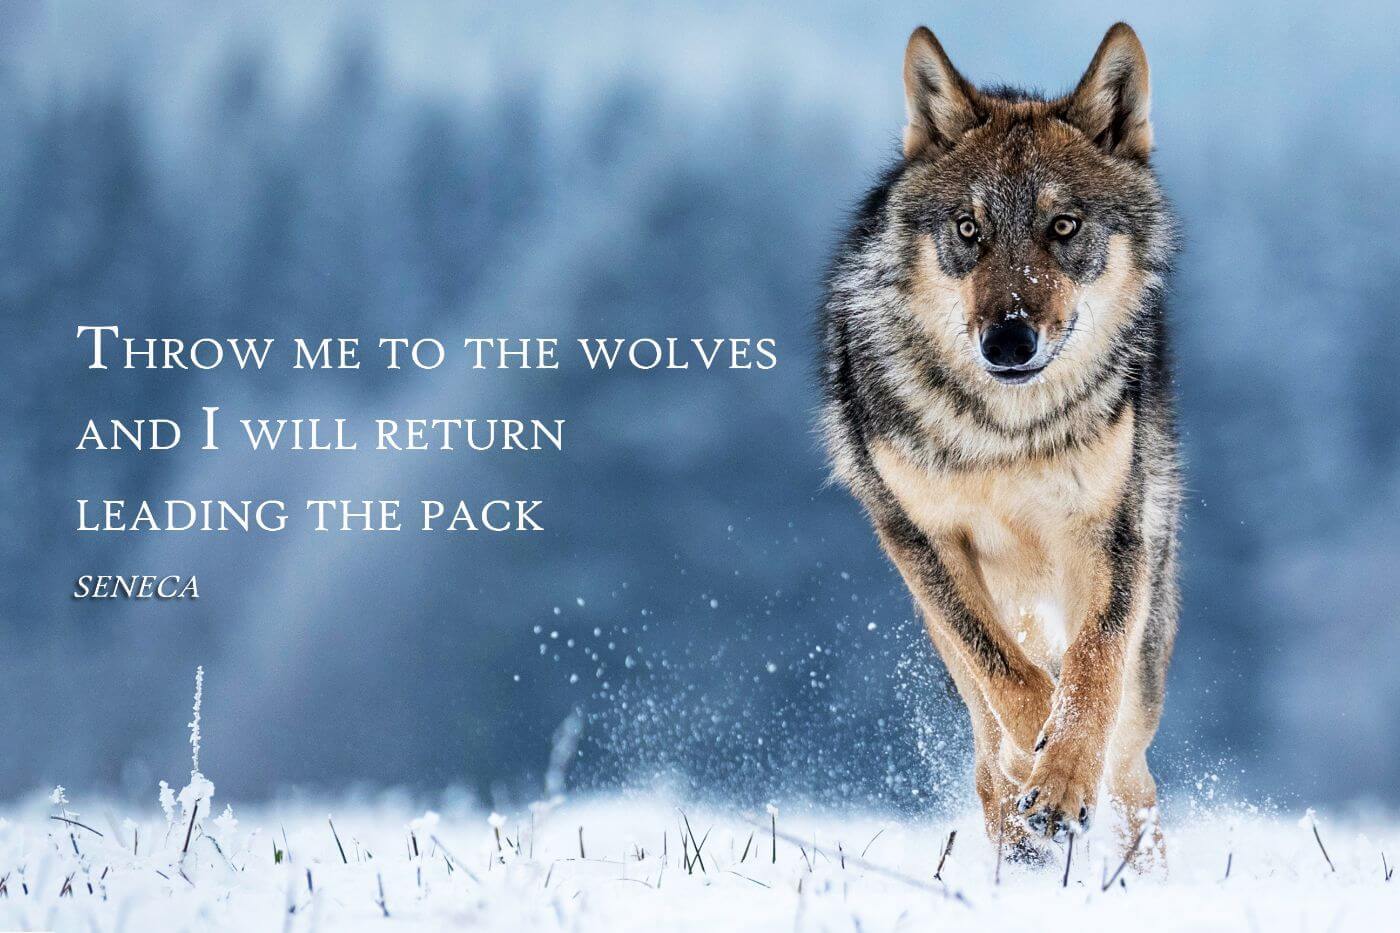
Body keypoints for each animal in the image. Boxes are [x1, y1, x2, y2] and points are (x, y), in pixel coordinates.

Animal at [820, 23, 1179, 863]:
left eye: (1063, 226)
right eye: (969, 231)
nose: (1009, 340)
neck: (1006, 436)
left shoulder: (1110, 534)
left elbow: (1091, 670)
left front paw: (1063, 776)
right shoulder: (922, 539)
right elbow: (1007, 676)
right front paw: (1034, 767)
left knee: (1134, 772)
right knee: (986, 740)